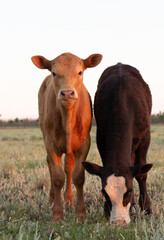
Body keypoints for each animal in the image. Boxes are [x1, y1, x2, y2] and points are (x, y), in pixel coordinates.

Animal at [31, 52, 102, 221]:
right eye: (54, 73)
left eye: (80, 72)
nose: (68, 93)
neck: (68, 118)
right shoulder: (50, 144)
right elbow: (57, 177)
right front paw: (57, 214)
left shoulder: (85, 143)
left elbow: (78, 176)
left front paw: (81, 214)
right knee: (51, 166)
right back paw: (52, 199)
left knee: (68, 167)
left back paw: (69, 199)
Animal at [82, 63, 153, 225]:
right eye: (104, 193)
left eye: (128, 192)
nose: (118, 222)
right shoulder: (101, 137)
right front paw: (107, 210)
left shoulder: (145, 137)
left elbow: (141, 173)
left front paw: (146, 208)